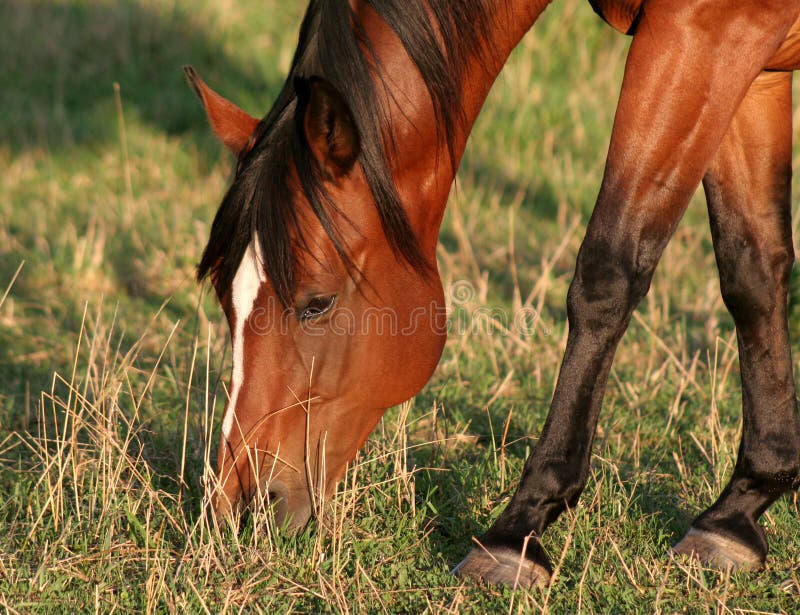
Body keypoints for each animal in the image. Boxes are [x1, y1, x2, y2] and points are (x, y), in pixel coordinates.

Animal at [184, 0, 800, 588]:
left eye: (317, 303)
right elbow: (753, 271)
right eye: (227, 302)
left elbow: (607, 274)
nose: (238, 507)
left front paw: (516, 534)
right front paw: (737, 514)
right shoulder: (751, 61)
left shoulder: (704, 33)